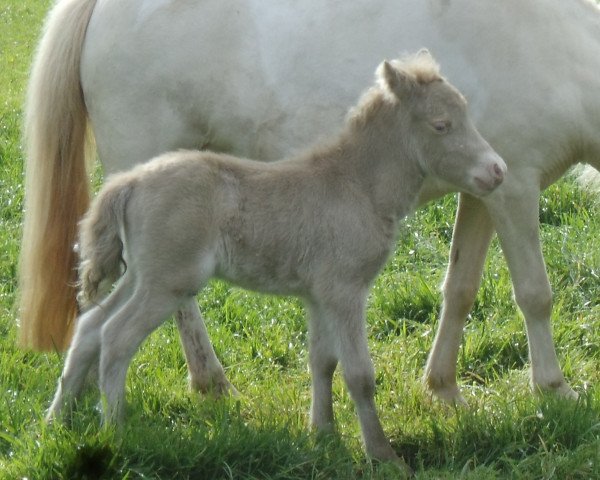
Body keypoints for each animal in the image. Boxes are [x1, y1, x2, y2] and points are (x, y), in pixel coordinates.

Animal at [21, 0, 596, 404]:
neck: (556, 46)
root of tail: (99, 11)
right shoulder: (515, 187)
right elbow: (534, 294)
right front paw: (554, 388)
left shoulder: (485, 191)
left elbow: (460, 290)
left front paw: (444, 387)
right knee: (169, 303)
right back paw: (207, 382)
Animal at [48, 52, 506, 464]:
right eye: (441, 125)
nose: (496, 171)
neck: (358, 186)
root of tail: (130, 182)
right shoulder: (345, 291)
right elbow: (359, 374)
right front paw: (383, 455)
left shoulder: (318, 295)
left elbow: (322, 362)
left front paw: (323, 435)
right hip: (168, 282)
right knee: (116, 336)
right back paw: (114, 429)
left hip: (142, 275)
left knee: (90, 327)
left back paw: (57, 420)